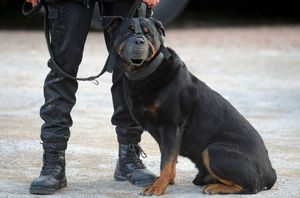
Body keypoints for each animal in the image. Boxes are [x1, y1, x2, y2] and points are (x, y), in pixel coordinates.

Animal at [105, 17, 276, 196]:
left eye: (148, 34)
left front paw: (158, 187)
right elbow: (170, 159)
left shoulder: (171, 126)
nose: (139, 40)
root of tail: (270, 172)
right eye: (127, 32)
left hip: (213, 149)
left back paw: (216, 187)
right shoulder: (168, 134)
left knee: (251, 186)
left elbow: (166, 161)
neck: (146, 72)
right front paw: (167, 181)